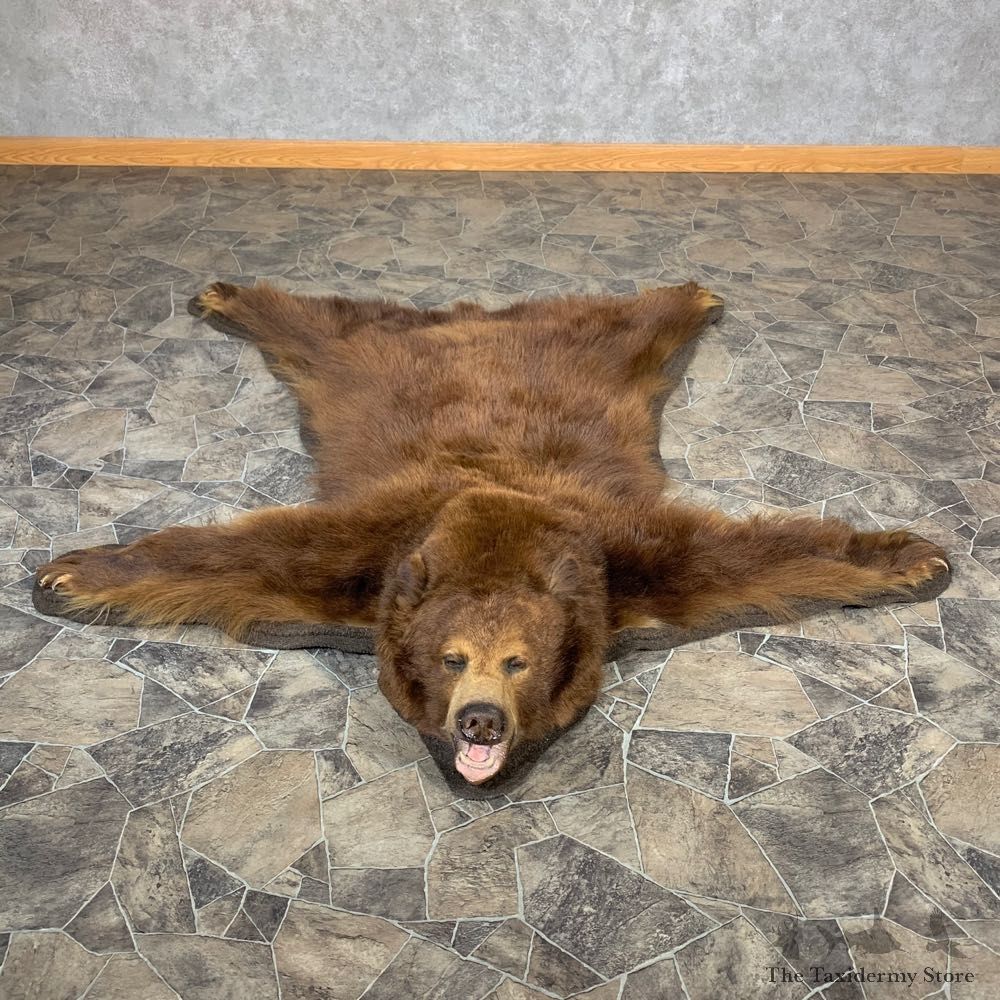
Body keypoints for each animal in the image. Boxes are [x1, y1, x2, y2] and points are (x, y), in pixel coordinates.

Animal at [37, 280, 950, 784]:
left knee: (634, 325)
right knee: (314, 322)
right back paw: (229, 297)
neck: (495, 524)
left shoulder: (630, 560)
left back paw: (690, 296)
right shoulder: (361, 558)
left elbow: (749, 555)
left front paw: (910, 558)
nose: (482, 721)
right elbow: (243, 555)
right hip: (359, 359)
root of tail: (472, 319)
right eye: (452, 659)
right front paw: (74, 573)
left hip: (595, 360)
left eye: (518, 660)